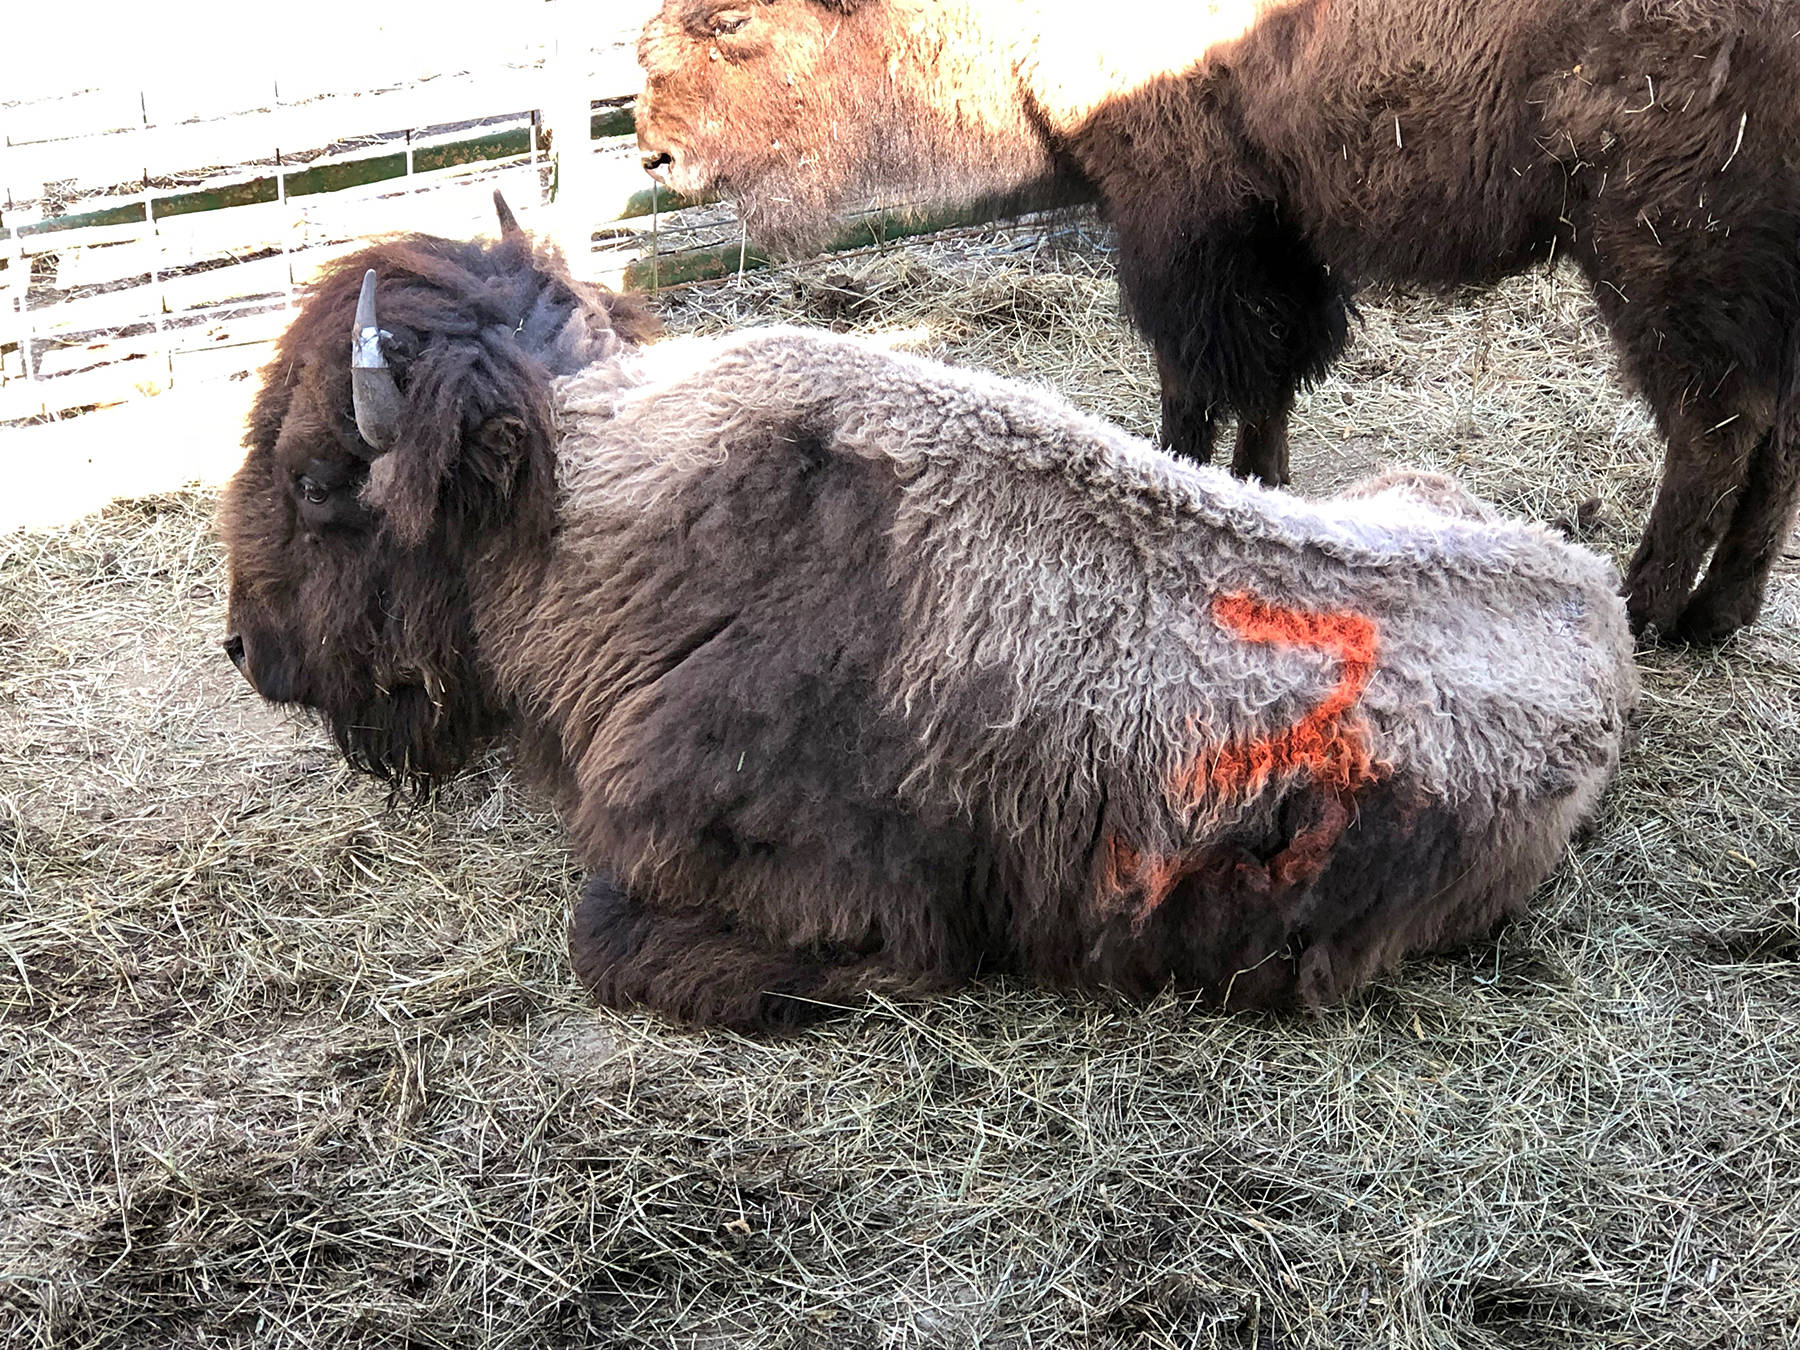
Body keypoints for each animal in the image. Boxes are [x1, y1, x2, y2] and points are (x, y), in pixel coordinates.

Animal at [633, 0, 1800, 648]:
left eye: (730, 21)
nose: (653, 153)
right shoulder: (1274, 222)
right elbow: (1272, 364)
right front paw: (1260, 485)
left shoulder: (1178, 211)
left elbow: (1196, 366)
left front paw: (1183, 474)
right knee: (1774, 435)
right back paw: (1718, 618)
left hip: (1656, 257)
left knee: (1715, 430)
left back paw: (1646, 607)